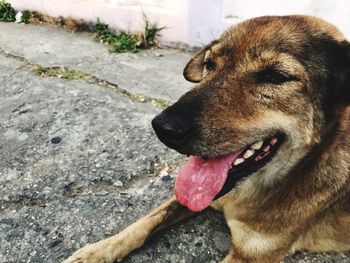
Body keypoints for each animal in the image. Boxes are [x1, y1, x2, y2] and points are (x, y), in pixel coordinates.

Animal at [64, 16, 348, 263]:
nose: (164, 128)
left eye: (276, 76)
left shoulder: (251, 255)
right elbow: (146, 221)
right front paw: (97, 251)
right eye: (210, 64)